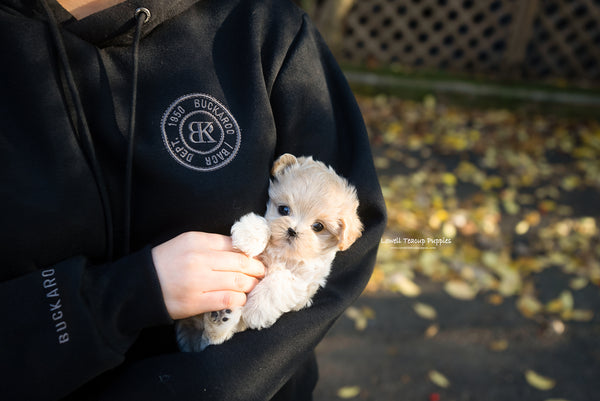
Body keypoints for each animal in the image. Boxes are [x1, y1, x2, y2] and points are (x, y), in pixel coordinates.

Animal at [173, 153, 360, 350]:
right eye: (283, 209)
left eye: (318, 226)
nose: (292, 231)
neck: (282, 253)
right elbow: (264, 225)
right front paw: (249, 235)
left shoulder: (304, 282)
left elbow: (279, 281)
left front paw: (256, 310)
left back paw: (220, 318)